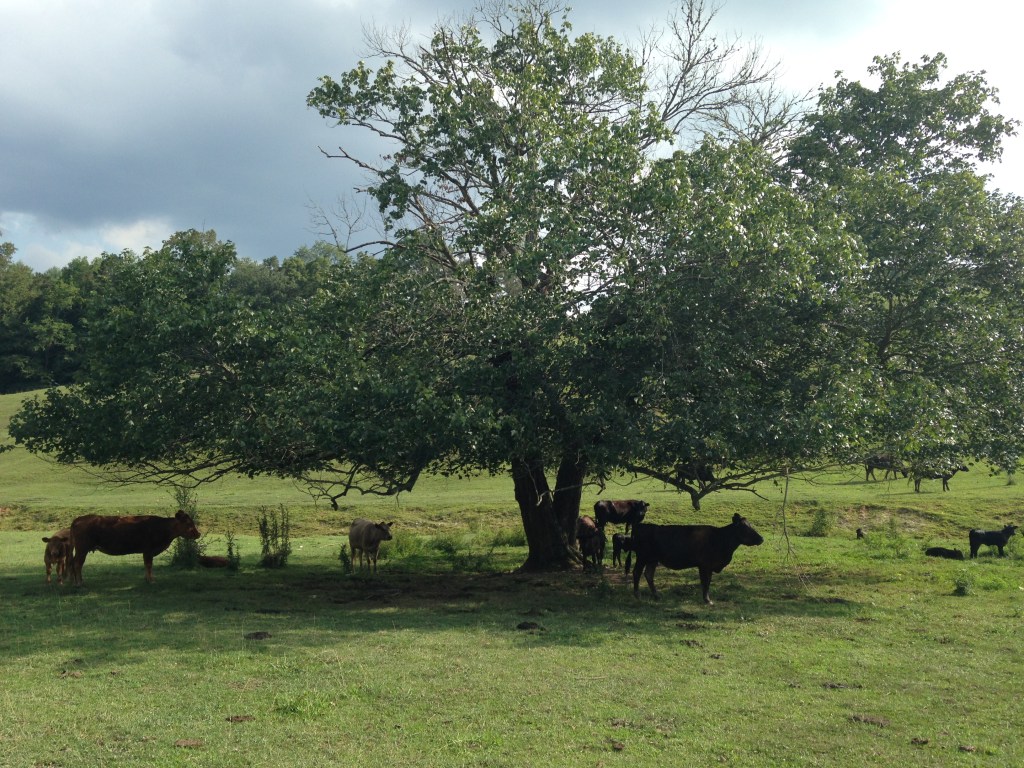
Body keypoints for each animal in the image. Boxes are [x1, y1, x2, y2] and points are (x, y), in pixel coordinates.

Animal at [68, 510, 201, 585]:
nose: (198, 534)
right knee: (77, 563)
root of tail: (78, 519)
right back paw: (79, 582)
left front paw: (147, 579)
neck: (162, 528)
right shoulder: (148, 550)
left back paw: (75, 582)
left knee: (73, 563)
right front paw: (151, 580)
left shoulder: (147, 552)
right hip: (82, 549)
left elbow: (146, 565)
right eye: (188, 523)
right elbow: (149, 565)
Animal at [631, 513, 764, 605]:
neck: (720, 539)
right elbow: (705, 582)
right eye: (745, 528)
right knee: (637, 572)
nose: (761, 538)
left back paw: (657, 596)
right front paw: (707, 600)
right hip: (642, 557)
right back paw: (637, 595)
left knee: (649, 574)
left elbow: (706, 582)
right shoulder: (705, 565)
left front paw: (707, 599)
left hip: (652, 560)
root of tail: (640, 526)